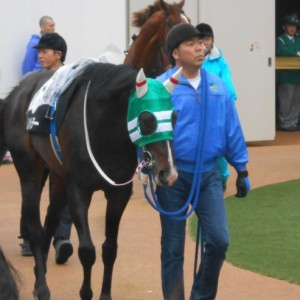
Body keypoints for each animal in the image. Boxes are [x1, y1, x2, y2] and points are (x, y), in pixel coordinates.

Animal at [0, 62, 180, 298]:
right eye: (146, 119)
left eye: (174, 117)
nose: (168, 173)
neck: (103, 129)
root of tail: (18, 91)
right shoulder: (78, 191)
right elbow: (87, 250)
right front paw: (86, 293)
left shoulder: (118, 194)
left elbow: (110, 249)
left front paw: (105, 295)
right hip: (30, 173)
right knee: (36, 229)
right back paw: (42, 288)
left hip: (59, 178)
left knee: (50, 221)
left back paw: (41, 272)